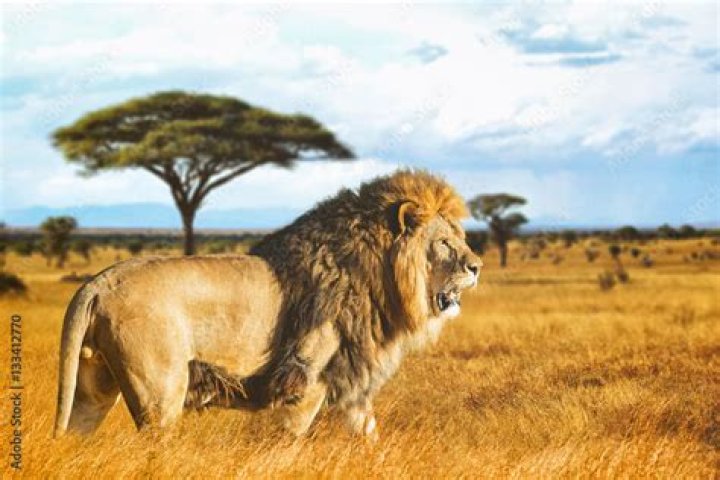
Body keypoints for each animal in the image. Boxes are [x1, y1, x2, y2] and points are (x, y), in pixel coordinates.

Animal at [54, 170, 481, 438]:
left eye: (462, 238)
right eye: (445, 243)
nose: (477, 266)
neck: (384, 280)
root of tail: (97, 283)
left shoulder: (352, 386)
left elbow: (369, 438)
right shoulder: (304, 378)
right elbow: (286, 440)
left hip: (92, 388)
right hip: (160, 392)